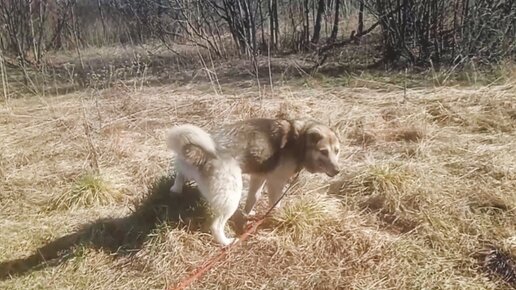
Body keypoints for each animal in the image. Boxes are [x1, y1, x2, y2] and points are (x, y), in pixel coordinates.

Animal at [167, 118, 340, 245]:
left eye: (337, 151)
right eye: (324, 152)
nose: (338, 170)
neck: (300, 140)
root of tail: (200, 152)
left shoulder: (259, 177)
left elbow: (253, 198)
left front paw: (248, 214)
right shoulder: (275, 182)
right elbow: (276, 203)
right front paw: (280, 217)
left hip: (186, 169)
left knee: (179, 175)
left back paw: (176, 189)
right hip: (231, 195)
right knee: (216, 226)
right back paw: (226, 242)